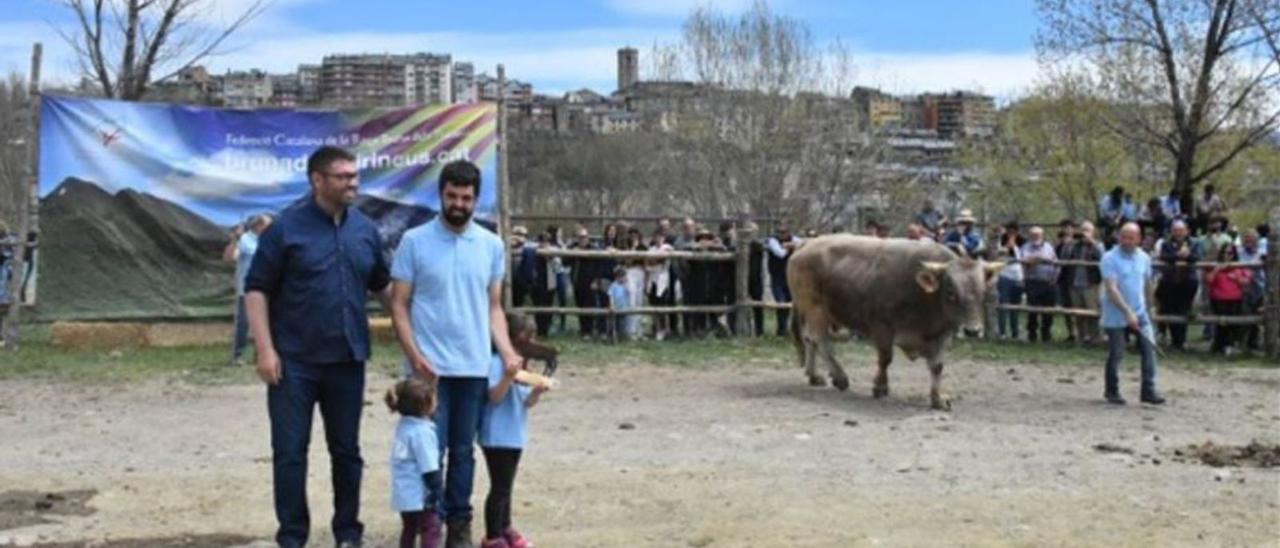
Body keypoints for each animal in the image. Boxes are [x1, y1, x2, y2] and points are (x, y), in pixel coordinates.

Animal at [783, 233, 1003, 409]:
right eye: (951, 293)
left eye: (982, 292)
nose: (972, 330)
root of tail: (806, 243)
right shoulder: (882, 327)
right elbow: (885, 358)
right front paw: (880, 386)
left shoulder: (942, 333)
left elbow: (937, 367)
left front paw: (938, 398)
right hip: (815, 309)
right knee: (821, 340)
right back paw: (840, 377)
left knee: (810, 340)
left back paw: (814, 375)